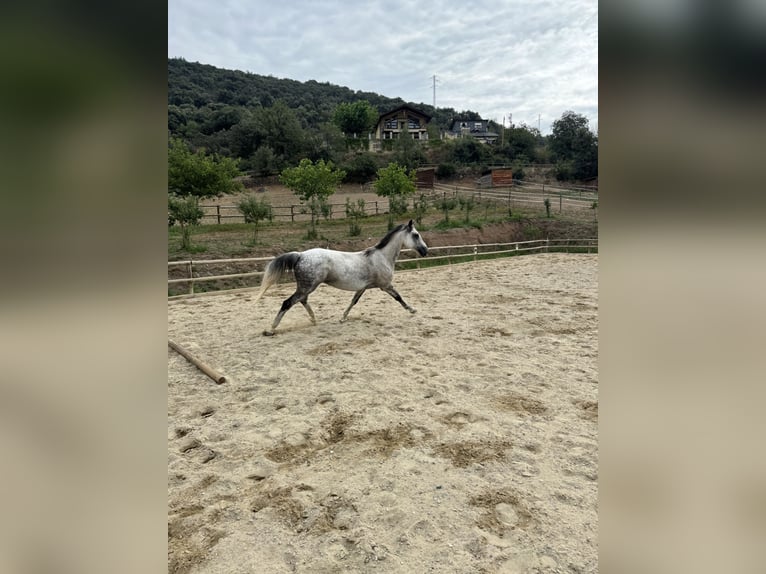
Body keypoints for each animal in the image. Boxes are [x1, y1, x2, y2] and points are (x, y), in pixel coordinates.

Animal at [255, 220, 428, 338]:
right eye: (416, 235)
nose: (425, 250)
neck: (382, 257)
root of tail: (300, 255)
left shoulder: (362, 288)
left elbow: (353, 302)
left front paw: (343, 318)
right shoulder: (385, 286)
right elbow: (399, 297)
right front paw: (412, 309)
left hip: (306, 287)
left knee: (302, 301)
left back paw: (314, 320)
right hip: (307, 286)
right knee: (288, 303)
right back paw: (271, 329)